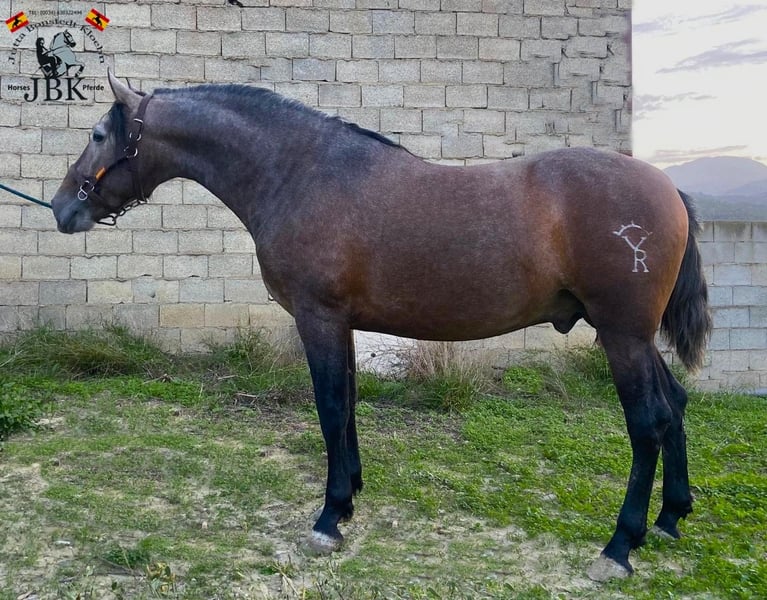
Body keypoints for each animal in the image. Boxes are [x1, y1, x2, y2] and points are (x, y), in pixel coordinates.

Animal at [51, 72, 711, 580]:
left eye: (98, 134)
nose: (62, 207)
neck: (300, 172)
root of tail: (669, 188)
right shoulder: (342, 324)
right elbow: (346, 404)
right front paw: (348, 500)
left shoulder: (318, 319)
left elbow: (330, 407)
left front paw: (328, 518)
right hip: (632, 337)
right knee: (675, 404)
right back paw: (670, 518)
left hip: (621, 337)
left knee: (648, 423)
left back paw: (619, 548)